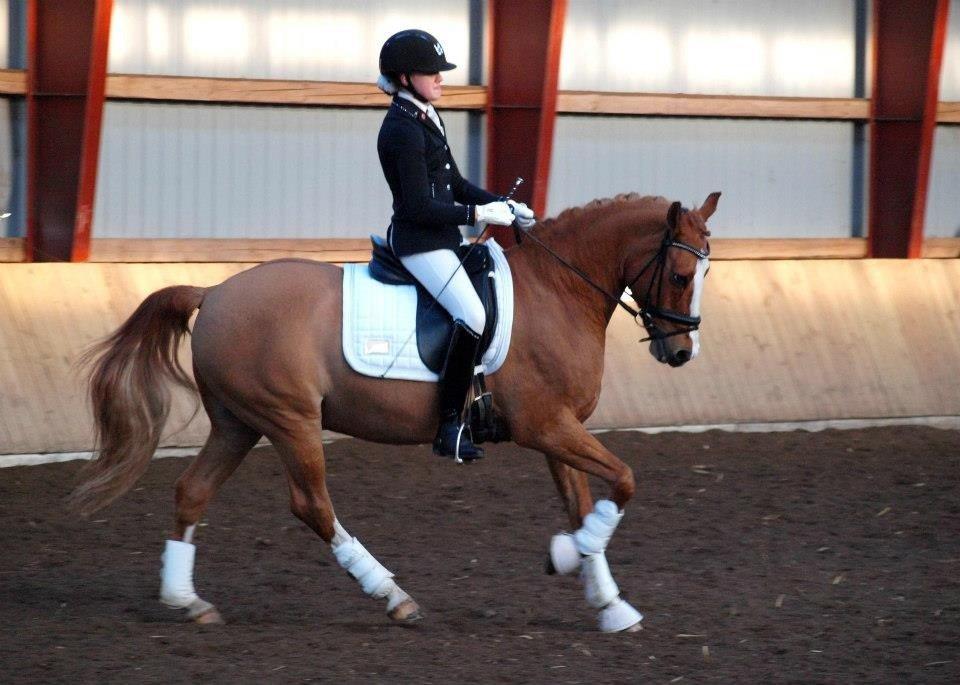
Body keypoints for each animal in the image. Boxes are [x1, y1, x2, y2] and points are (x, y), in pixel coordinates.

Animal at [70, 191, 719, 632]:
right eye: (682, 274)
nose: (681, 353)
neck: (558, 292)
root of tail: (215, 293)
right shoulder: (546, 427)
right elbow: (623, 482)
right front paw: (565, 558)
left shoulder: (559, 431)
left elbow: (584, 504)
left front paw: (610, 603)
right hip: (289, 421)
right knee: (311, 505)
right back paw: (392, 595)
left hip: (239, 423)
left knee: (192, 492)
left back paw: (188, 601)